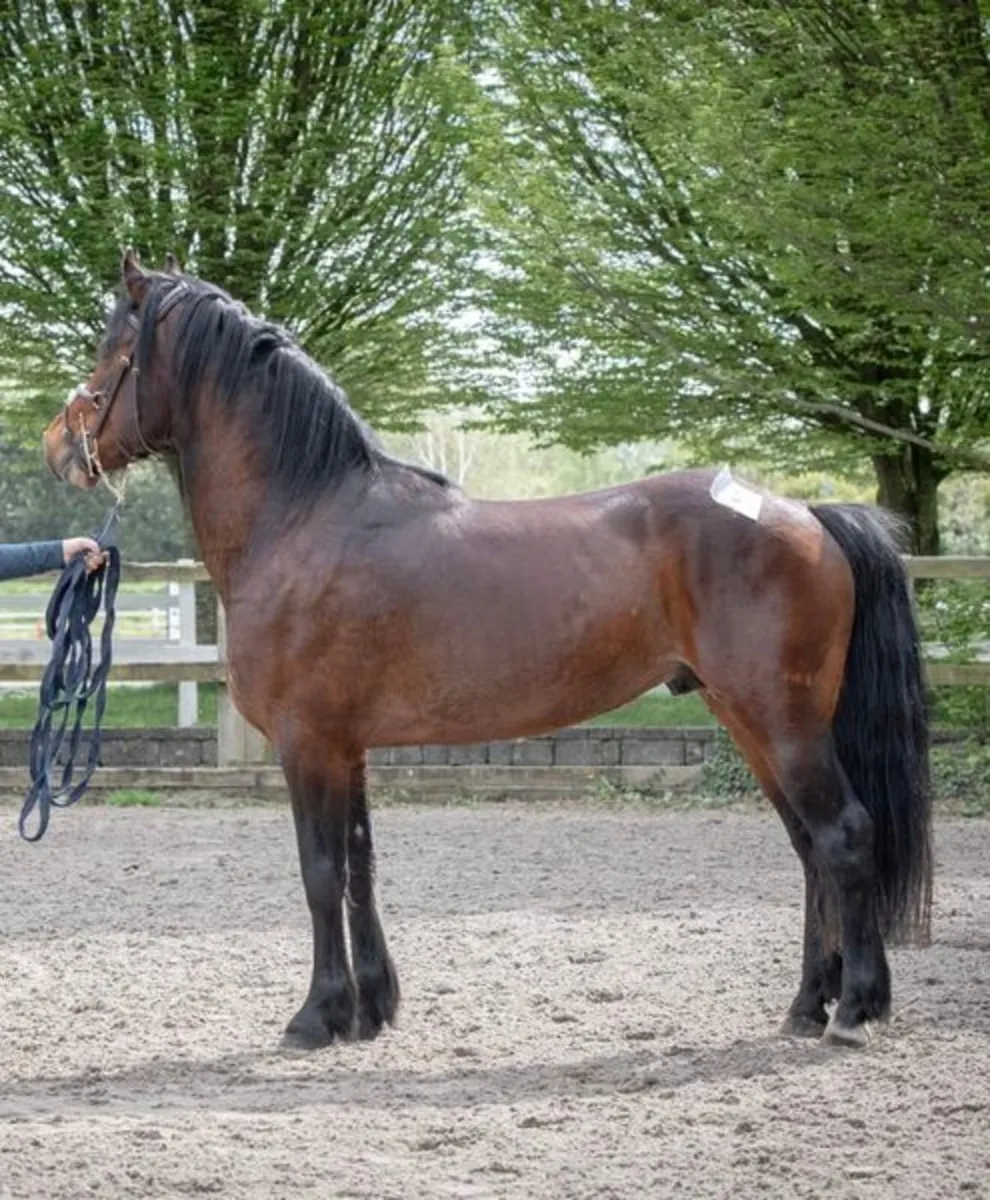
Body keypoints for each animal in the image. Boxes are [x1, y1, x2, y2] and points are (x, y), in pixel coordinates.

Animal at [42, 248, 932, 1051]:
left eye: (113, 351)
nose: (57, 444)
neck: (306, 518)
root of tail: (809, 514)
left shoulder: (309, 743)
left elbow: (320, 872)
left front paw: (314, 1018)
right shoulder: (347, 745)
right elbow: (361, 867)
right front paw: (369, 1011)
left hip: (782, 722)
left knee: (845, 835)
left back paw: (855, 1011)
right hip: (749, 721)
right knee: (810, 850)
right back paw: (807, 1007)